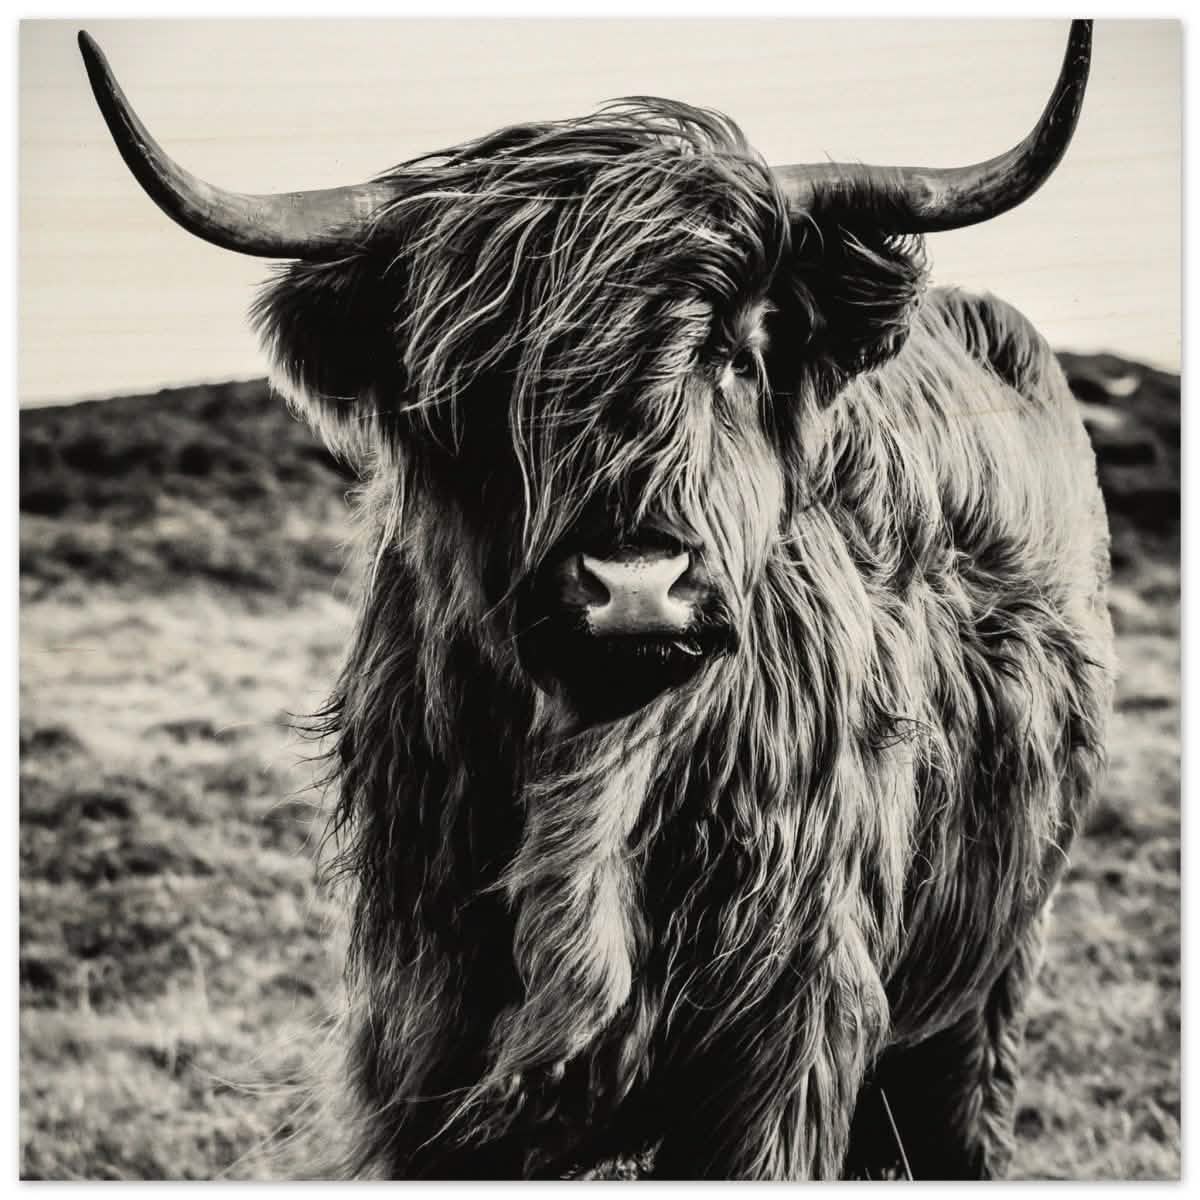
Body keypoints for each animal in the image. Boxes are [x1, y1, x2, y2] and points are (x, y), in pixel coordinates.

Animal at [79, 21, 1114, 1180]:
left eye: (733, 354)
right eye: (481, 382)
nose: (635, 587)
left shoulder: (784, 1044)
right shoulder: (425, 1041)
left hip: (992, 976)